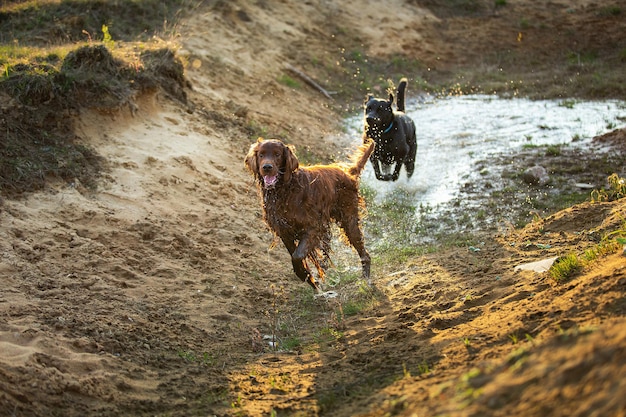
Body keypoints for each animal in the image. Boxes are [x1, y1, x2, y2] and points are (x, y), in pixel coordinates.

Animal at [243, 138, 370, 290]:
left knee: (364, 253)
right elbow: (295, 255)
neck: (285, 190)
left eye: (277, 154)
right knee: (327, 248)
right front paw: (307, 277)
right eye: (261, 154)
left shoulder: (313, 227)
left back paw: (366, 279)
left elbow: (297, 255)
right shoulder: (285, 231)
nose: (267, 167)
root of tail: (348, 172)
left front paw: (307, 277)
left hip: (349, 220)